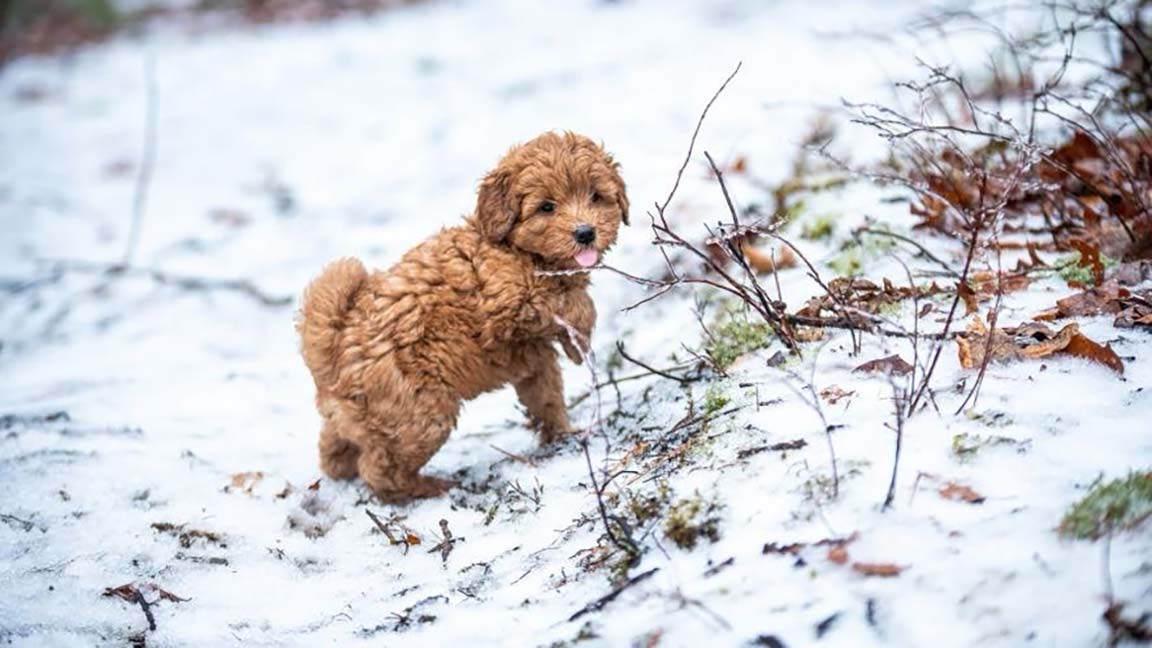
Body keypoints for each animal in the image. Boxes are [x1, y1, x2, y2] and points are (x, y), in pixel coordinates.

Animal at [292, 131, 626, 500]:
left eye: (596, 196)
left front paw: (561, 436)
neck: (514, 249)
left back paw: (343, 469)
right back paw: (431, 487)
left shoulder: (535, 357)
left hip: (357, 416)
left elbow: (546, 395)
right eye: (547, 207)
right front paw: (580, 338)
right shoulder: (507, 301)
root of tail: (335, 343)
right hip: (421, 414)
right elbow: (568, 303)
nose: (585, 233)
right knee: (382, 470)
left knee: (335, 449)